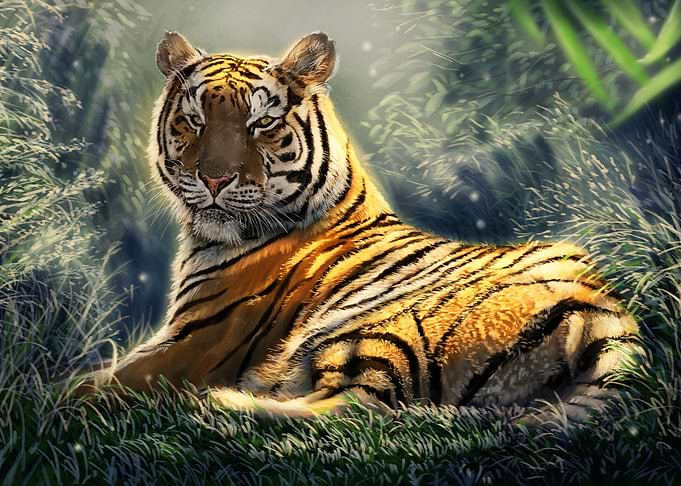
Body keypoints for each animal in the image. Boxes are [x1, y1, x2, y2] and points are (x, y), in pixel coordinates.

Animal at [83, 31, 645, 420]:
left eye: (261, 123)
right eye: (194, 120)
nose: (215, 178)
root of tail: (603, 315)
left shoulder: (195, 342)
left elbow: (84, 388)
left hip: (369, 326)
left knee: (359, 408)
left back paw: (224, 403)